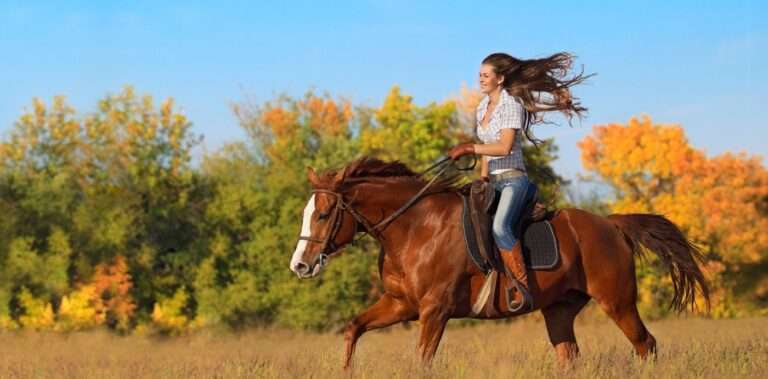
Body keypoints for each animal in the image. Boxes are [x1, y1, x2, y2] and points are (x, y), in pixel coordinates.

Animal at [292, 157, 712, 368]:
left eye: (324, 214)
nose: (300, 265)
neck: (415, 227)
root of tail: (611, 224)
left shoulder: (434, 310)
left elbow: (422, 361)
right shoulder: (401, 305)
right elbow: (353, 329)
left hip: (618, 302)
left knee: (646, 345)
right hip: (559, 310)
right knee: (570, 357)